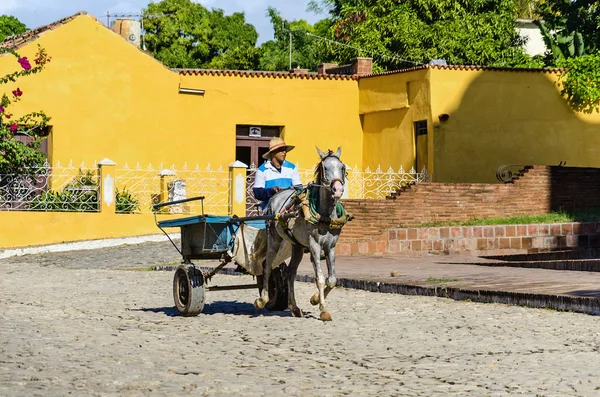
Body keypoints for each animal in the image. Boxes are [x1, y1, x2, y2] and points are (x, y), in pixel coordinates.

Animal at [254, 147, 352, 320]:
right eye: (324, 168)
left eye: (342, 168)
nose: (338, 190)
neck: (325, 214)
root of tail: (275, 196)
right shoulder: (314, 245)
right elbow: (320, 278)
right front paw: (323, 309)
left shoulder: (331, 246)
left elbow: (332, 279)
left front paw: (315, 299)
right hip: (274, 240)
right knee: (267, 266)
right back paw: (263, 299)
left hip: (297, 246)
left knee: (290, 273)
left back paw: (294, 307)